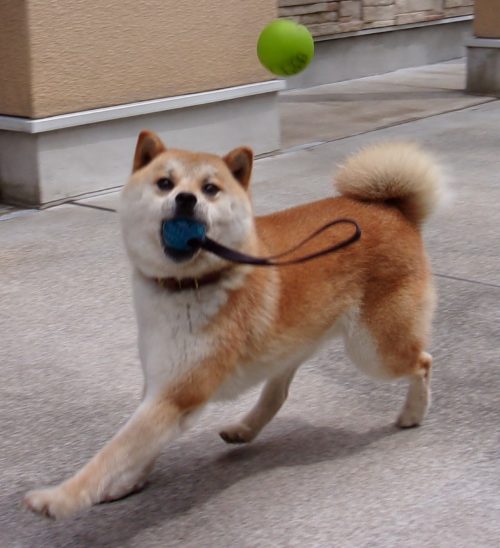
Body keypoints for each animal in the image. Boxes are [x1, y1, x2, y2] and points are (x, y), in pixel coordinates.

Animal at [24, 130, 444, 519]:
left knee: (423, 362)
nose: (186, 199)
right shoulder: (161, 382)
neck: (190, 284)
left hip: (372, 351)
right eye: (165, 183)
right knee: (277, 394)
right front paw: (128, 481)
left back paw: (413, 413)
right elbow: (140, 445)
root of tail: (394, 210)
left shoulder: (179, 391)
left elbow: (115, 451)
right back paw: (245, 428)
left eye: (210, 189)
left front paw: (60, 498)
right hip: (295, 344)